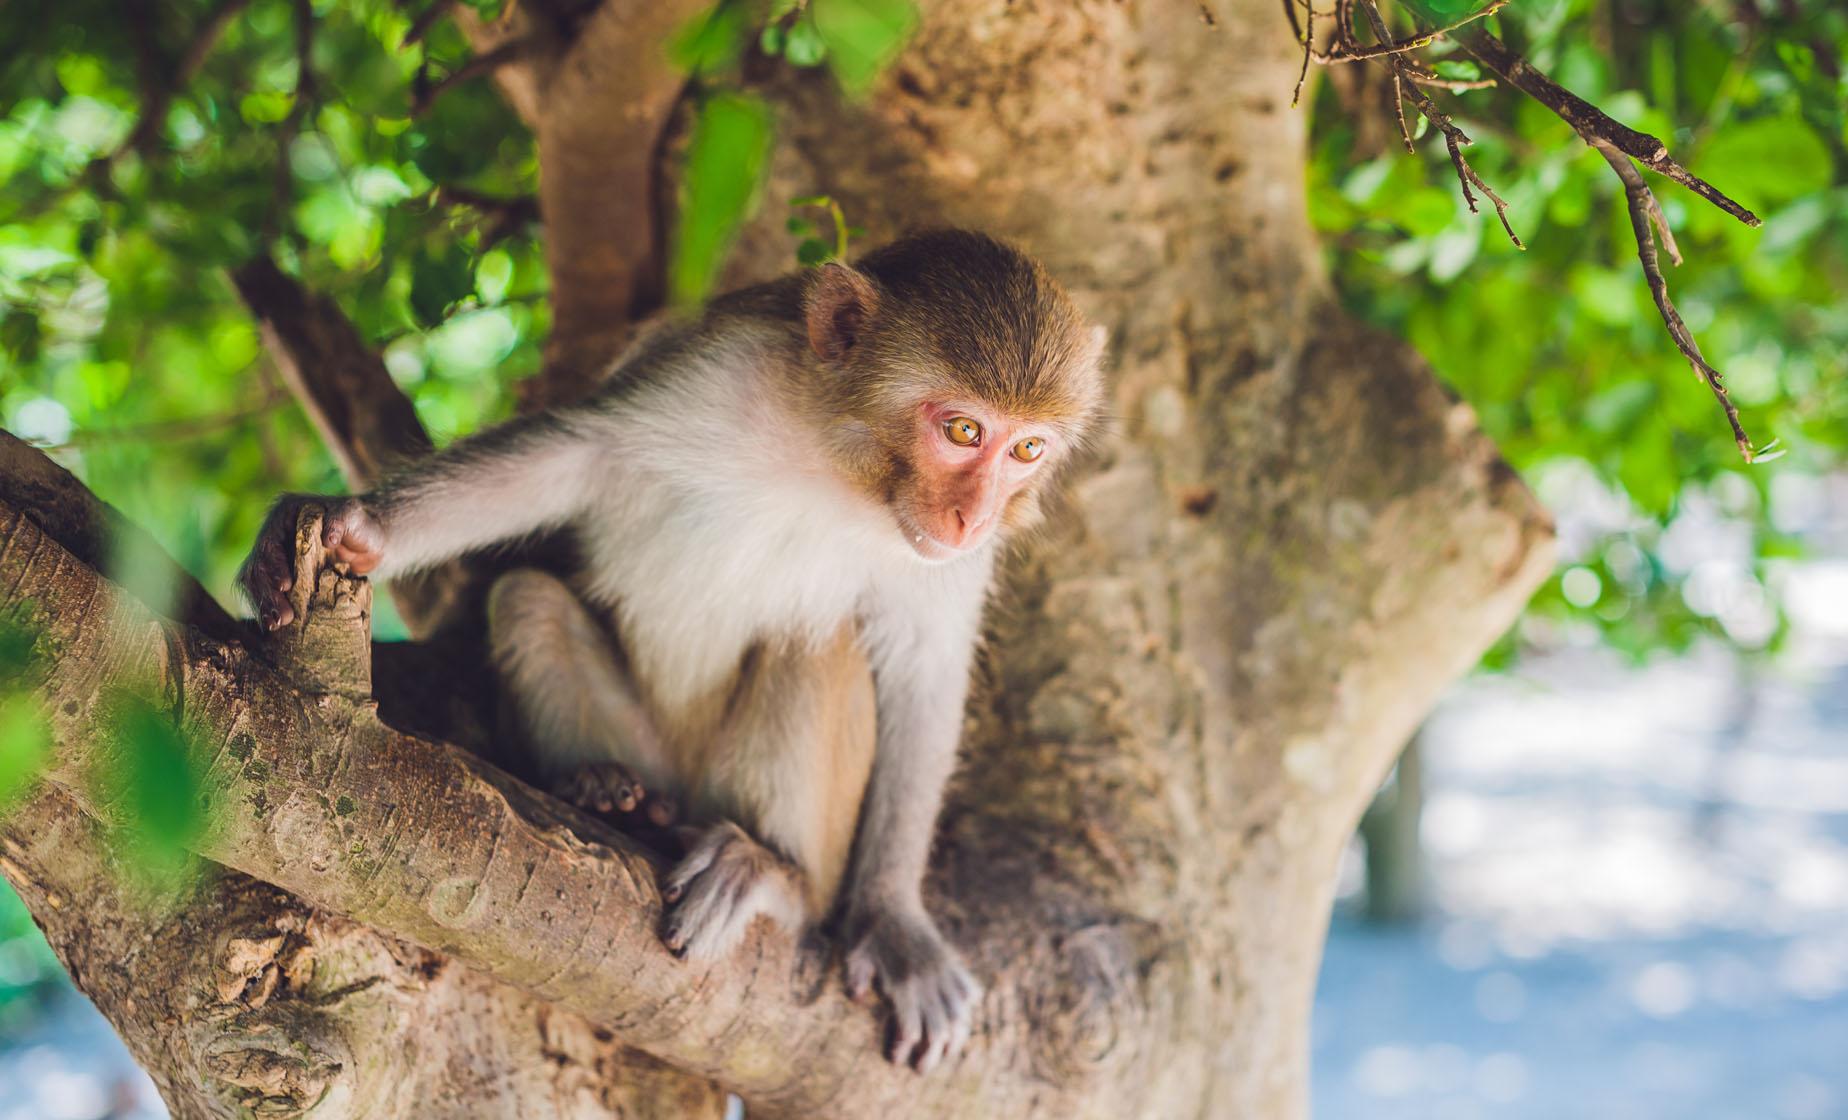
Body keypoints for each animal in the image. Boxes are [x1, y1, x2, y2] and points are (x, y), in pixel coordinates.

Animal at [241, 229, 1107, 1073]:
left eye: (1027, 451)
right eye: (963, 431)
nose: (974, 518)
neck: (843, 464)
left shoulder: (942, 560)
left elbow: (924, 670)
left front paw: (894, 920)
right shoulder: (721, 366)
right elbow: (579, 450)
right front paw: (357, 524)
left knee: (814, 645)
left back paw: (779, 876)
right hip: (651, 746)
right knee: (527, 600)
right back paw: (607, 793)